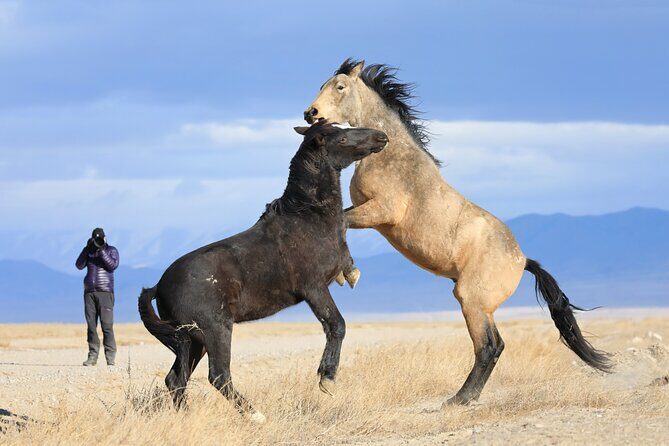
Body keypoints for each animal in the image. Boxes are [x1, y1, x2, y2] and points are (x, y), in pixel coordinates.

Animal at [138, 121, 388, 422]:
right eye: (340, 137)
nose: (381, 137)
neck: (307, 218)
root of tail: (159, 286)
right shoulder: (314, 289)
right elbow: (336, 326)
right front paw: (327, 378)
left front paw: (350, 274)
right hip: (215, 331)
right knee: (218, 375)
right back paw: (255, 415)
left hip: (192, 341)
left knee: (177, 379)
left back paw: (186, 417)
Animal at [304, 59, 612, 406]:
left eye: (340, 87)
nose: (311, 113)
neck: (392, 156)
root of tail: (522, 261)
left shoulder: (381, 212)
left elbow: (342, 224)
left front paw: (349, 273)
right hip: (479, 304)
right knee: (496, 345)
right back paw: (468, 396)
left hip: (472, 300)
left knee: (489, 346)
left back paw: (459, 399)